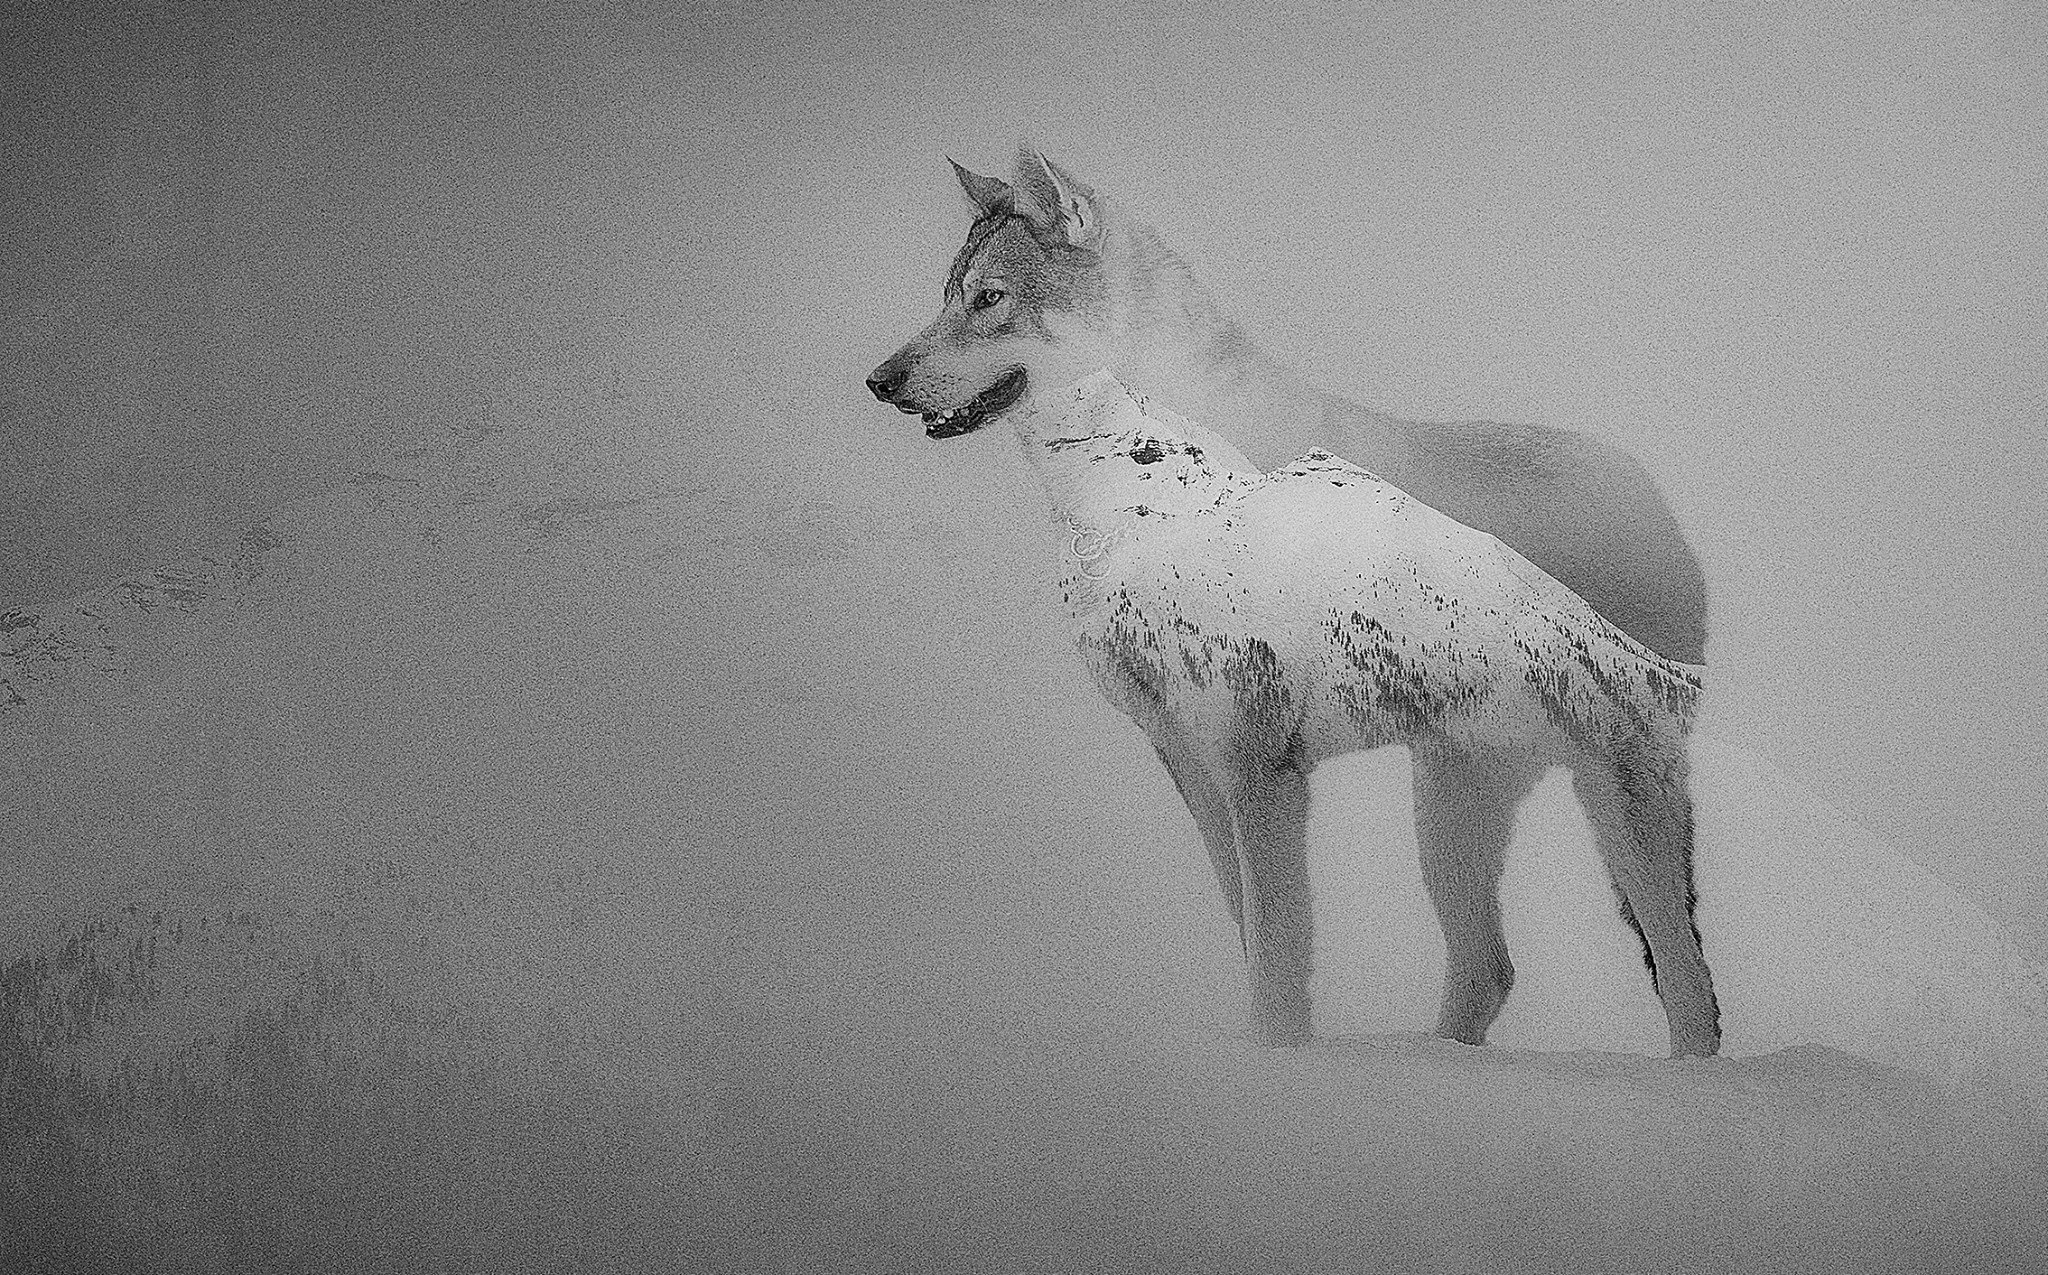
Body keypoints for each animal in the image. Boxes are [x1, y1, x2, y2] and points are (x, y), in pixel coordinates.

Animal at [868, 152, 1718, 1054]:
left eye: (989, 299)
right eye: (946, 293)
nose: (879, 381)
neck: (1144, 485)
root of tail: (1652, 494)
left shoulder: (1258, 769)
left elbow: (1278, 958)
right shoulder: (1193, 766)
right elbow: (1256, 941)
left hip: (1609, 792)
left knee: (1688, 983)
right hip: (1450, 807)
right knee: (1490, 968)